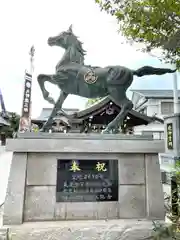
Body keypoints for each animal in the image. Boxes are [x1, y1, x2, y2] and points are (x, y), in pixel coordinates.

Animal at [37, 25, 176, 134]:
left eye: (63, 33)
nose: (49, 39)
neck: (69, 63)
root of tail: (131, 71)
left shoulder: (60, 78)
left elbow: (41, 77)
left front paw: (48, 96)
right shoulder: (65, 90)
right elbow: (56, 106)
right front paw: (44, 128)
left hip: (116, 91)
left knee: (128, 105)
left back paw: (108, 128)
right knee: (127, 107)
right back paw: (112, 130)